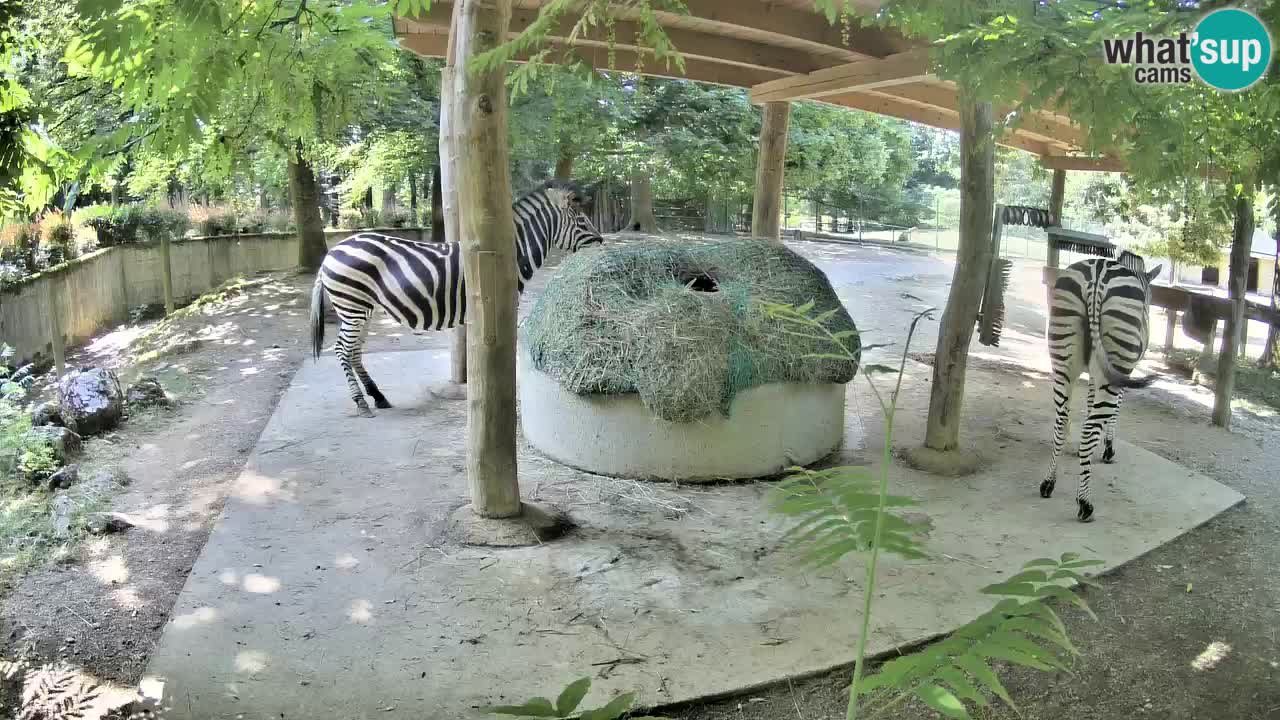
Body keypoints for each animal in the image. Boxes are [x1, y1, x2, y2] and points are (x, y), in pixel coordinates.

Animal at [309, 180, 604, 416]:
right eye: (581, 220)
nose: (601, 243)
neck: (509, 255)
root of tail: (332, 252)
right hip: (352, 305)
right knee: (342, 350)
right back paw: (361, 402)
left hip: (363, 308)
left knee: (355, 351)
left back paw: (378, 397)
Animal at [1040, 251, 1162, 522]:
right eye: (1149, 297)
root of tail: (1097, 275)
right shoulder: (1118, 374)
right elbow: (1113, 412)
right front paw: (1107, 448)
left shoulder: (1095, 374)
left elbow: (1088, 406)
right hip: (1117, 359)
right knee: (1088, 429)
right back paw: (1084, 503)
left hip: (1063, 363)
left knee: (1061, 420)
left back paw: (1049, 483)